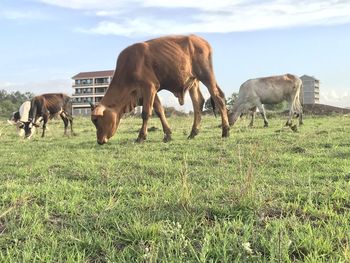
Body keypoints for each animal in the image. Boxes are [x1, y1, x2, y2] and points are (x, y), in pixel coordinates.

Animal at [91, 34, 230, 145]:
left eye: (96, 120)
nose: (99, 141)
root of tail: (202, 40)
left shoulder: (149, 86)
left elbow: (146, 113)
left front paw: (141, 137)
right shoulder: (151, 90)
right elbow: (159, 110)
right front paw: (167, 135)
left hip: (206, 75)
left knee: (218, 97)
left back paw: (225, 131)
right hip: (193, 81)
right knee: (198, 103)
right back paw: (193, 133)